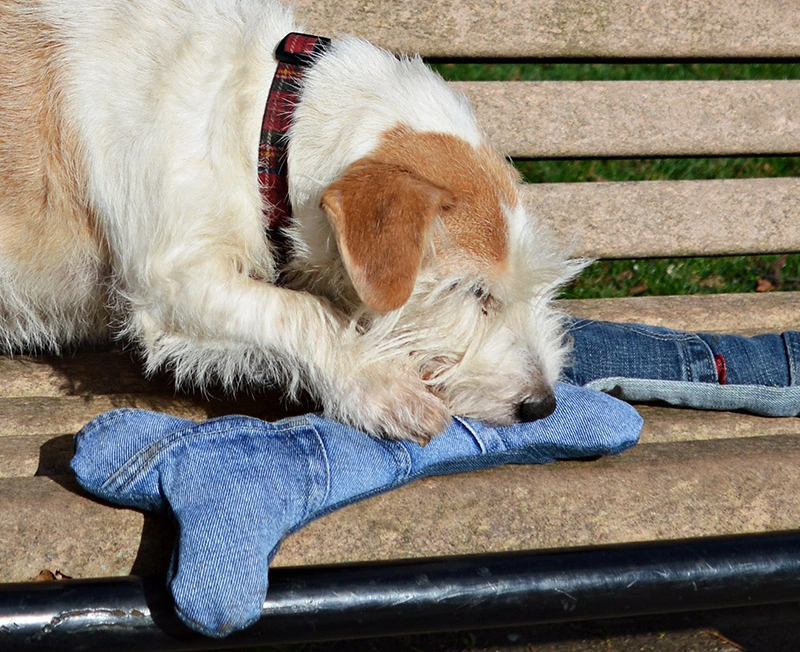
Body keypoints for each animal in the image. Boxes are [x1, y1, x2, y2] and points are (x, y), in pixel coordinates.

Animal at [0, 0, 580, 444]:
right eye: (470, 289)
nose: (543, 405)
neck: (265, 124)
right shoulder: (173, 280)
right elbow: (302, 310)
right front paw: (381, 386)